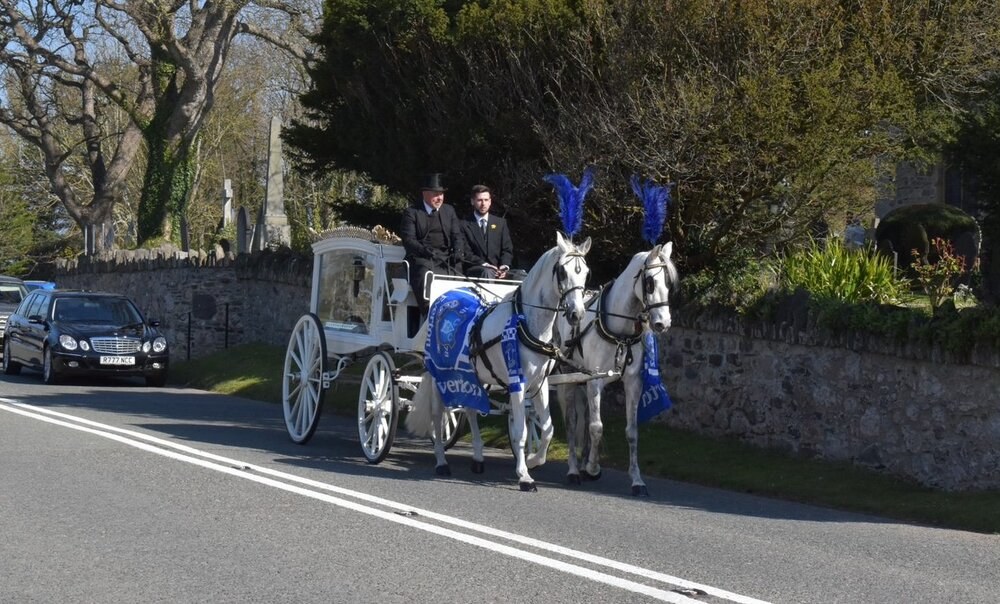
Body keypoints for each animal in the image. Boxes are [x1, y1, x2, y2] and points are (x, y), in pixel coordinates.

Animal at [408, 231, 592, 490]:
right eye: (563, 272)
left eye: (586, 272)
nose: (577, 314)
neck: (526, 323)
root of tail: (445, 296)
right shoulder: (517, 382)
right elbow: (521, 431)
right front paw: (524, 475)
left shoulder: (540, 384)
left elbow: (547, 428)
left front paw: (534, 460)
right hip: (437, 374)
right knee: (437, 414)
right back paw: (441, 461)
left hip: (472, 375)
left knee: (470, 409)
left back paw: (477, 458)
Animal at [552, 241, 676, 496]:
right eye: (650, 283)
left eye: (669, 283)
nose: (663, 323)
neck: (619, 329)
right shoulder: (595, 381)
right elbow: (596, 427)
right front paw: (592, 468)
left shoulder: (633, 383)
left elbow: (631, 431)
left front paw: (637, 480)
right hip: (567, 378)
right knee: (571, 421)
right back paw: (574, 469)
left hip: (580, 380)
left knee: (581, 420)